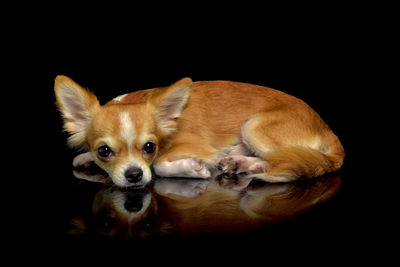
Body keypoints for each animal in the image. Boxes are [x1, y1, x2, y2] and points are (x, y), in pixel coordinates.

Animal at [54, 75, 346, 188]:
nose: (134, 175)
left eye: (150, 147)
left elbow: (159, 165)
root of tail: (325, 126)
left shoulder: (195, 148)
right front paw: (85, 158)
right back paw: (239, 161)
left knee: (280, 159)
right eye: (103, 151)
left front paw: (192, 168)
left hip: (252, 126)